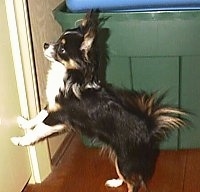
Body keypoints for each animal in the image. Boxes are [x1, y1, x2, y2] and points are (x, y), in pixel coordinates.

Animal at [11, 11, 188, 192]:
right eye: (58, 39)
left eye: (62, 49)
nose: (46, 44)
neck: (70, 74)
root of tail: (148, 129)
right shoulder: (53, 107)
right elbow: (39, 115)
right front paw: (24, 123)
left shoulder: (59, 117)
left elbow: (38, 129)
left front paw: (21, 140)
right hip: (119, 158)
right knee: (126, 177)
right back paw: (115, 182)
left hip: (125, 161)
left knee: (134, 182)